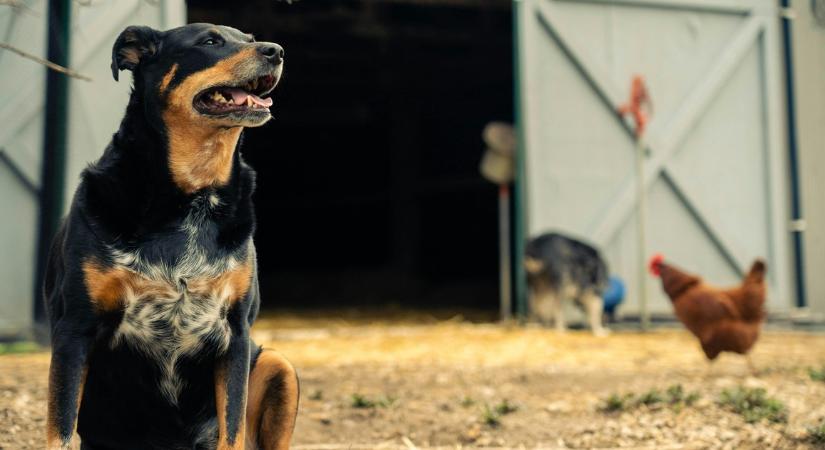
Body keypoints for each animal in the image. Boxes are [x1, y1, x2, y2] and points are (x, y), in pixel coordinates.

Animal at [43, 25, 298, 450]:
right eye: (210, 42)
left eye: (248, 38)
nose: (276, 51)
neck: (191, 195)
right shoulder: (73, 330)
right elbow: (60, 429)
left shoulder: (236, 335)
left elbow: (232, 428)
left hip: (279, 365)